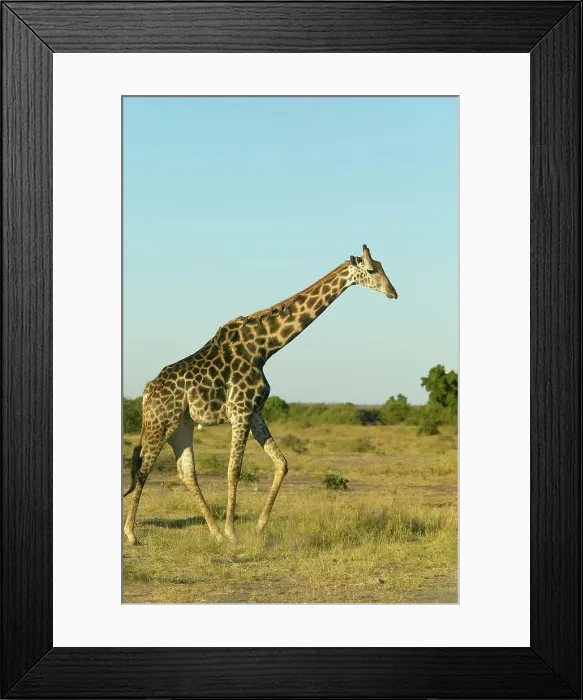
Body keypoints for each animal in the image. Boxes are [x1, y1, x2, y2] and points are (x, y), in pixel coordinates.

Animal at [124, 244, 398, 545]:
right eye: (371, 270)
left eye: (383, 267)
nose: (393, 292)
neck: (265, 347)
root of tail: (146, 393)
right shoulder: (240, 411)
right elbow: (234, 471)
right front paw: (233, 533)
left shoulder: (255, 412)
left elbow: (282, 463)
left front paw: (258, 526)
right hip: (160, 423)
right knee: (143, 468)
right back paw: (132, 534)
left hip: (182, 426)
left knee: (186, 472)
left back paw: (214, 532)